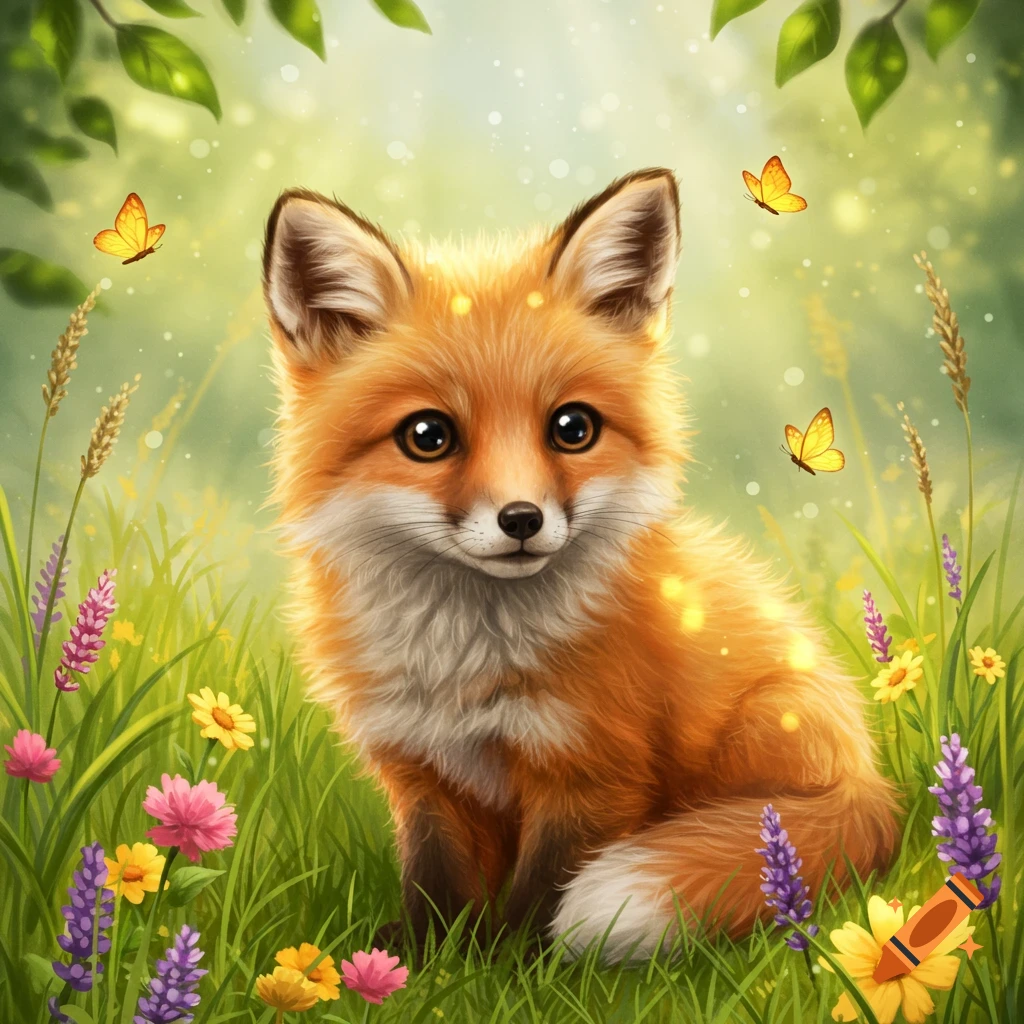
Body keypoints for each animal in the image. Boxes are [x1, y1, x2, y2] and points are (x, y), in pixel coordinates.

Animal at [261, 168, 899, 962]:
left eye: (573, 428)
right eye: (427, 435)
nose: (522, 521)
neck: (464, 664)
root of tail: (874, 786)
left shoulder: (593, 773)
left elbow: (544, 895)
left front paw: (517, 970)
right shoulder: (422, 771)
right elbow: (436, 887)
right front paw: (421, 962)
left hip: (762, 732)